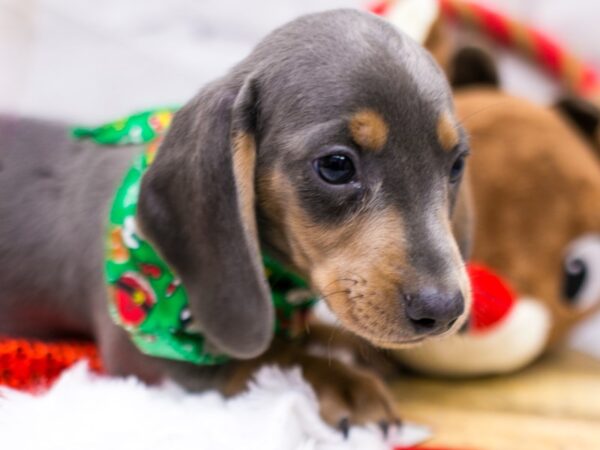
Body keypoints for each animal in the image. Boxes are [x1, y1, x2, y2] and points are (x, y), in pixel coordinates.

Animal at [0, 9, 468, 428]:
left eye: (457, 164)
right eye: (336, 166)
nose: (445, 311)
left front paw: (361, 349)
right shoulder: (149, 359)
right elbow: (271, 356)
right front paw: (344, 381)